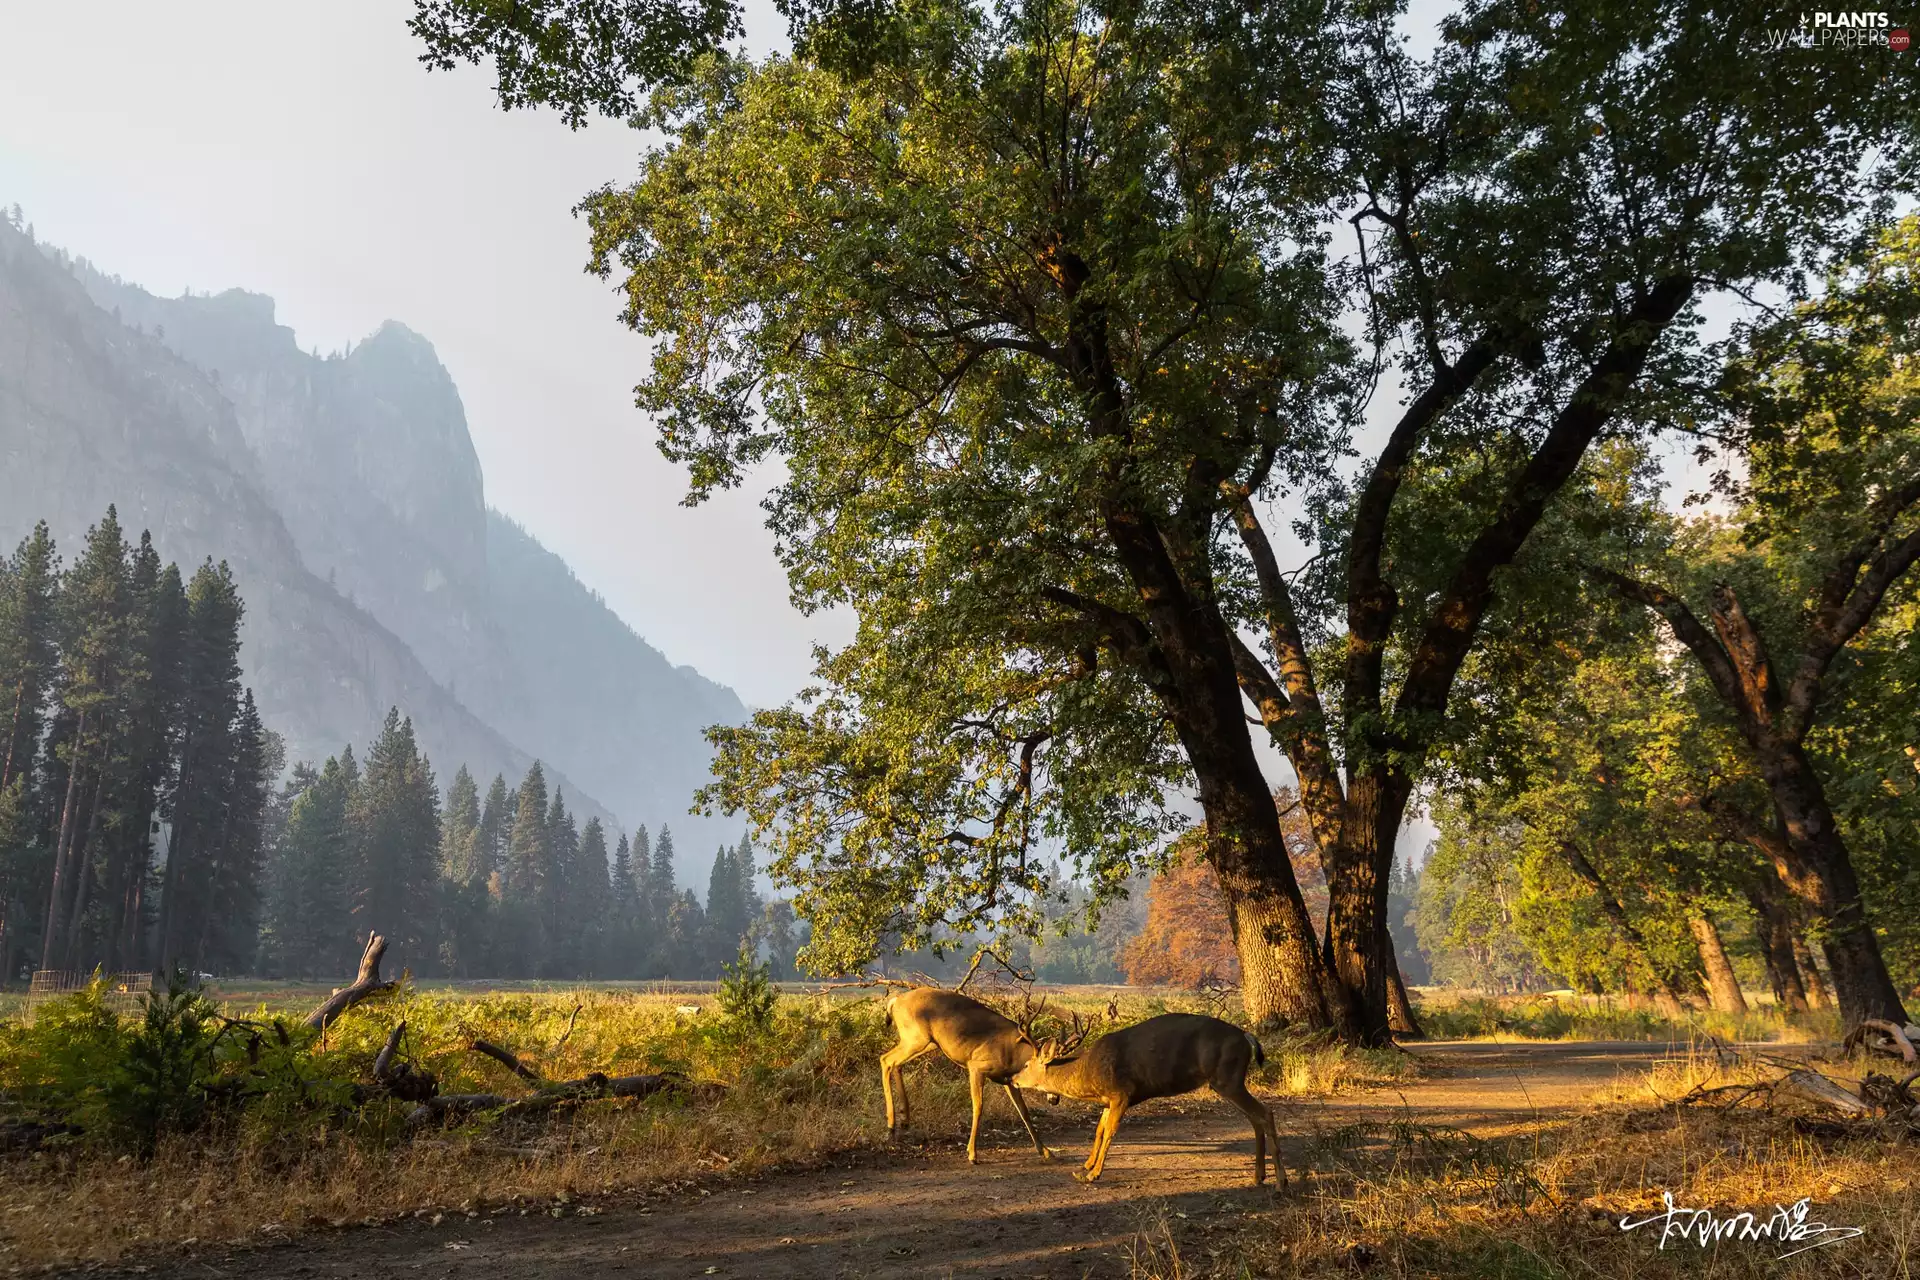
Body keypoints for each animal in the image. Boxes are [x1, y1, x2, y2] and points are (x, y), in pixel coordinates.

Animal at [879, 986, 1057, 1164]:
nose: (1055, 1100)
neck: (1014, 1053)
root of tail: (896, 1000)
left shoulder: (1008, 1080)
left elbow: (1024, 1111)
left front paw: (1046, 1151)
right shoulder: (976, 1066)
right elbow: (978, 1107)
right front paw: (972, 1154)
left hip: (927, 1043)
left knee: (896, 1064)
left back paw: (904, 1120)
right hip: (915, 1038)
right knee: (886, 1059)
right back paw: (891, 1126)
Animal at [1010, 1012, 1283, 1186]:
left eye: (1025, 1065)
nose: (1012, 1078)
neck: (1087, 1072)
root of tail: (1247, 1036)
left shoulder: (1122, 1093)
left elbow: (1109, 1133)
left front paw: (1093, 1174)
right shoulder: (1108, 1100)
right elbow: (1099, 1130)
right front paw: (1086, 1166)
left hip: (1227, 1079)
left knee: (1265, 1113)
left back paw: (1281, 1182)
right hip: (1229, 1081)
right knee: (1256, 1118)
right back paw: (1259, 1176)